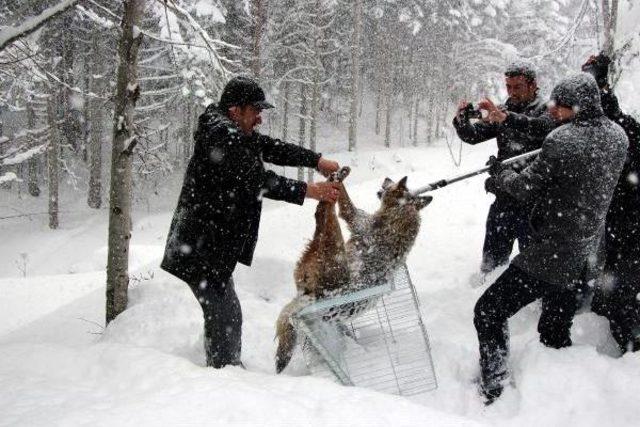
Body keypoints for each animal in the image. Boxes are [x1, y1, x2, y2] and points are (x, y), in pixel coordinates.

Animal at [272, 171, 432, 374]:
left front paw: (336, 180)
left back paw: (336, 179)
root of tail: (312, 299)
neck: (403, 212)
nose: (386, 178)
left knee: (323, 214)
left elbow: (345, 203)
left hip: (334, 247)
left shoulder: (357, 219)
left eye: (396, 185)